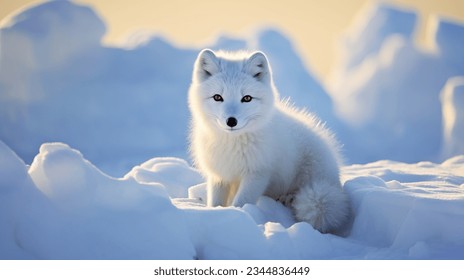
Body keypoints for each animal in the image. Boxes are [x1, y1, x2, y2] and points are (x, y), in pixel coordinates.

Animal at [187, 49, 350, 233]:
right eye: (217, 97)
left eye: (247, 98)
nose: (231, 121)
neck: (232, 143)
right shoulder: (219, 175)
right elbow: (216, 202)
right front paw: (215, 214)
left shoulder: (258, 174)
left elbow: (242, 201)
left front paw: (239, 216)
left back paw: (287, 198)